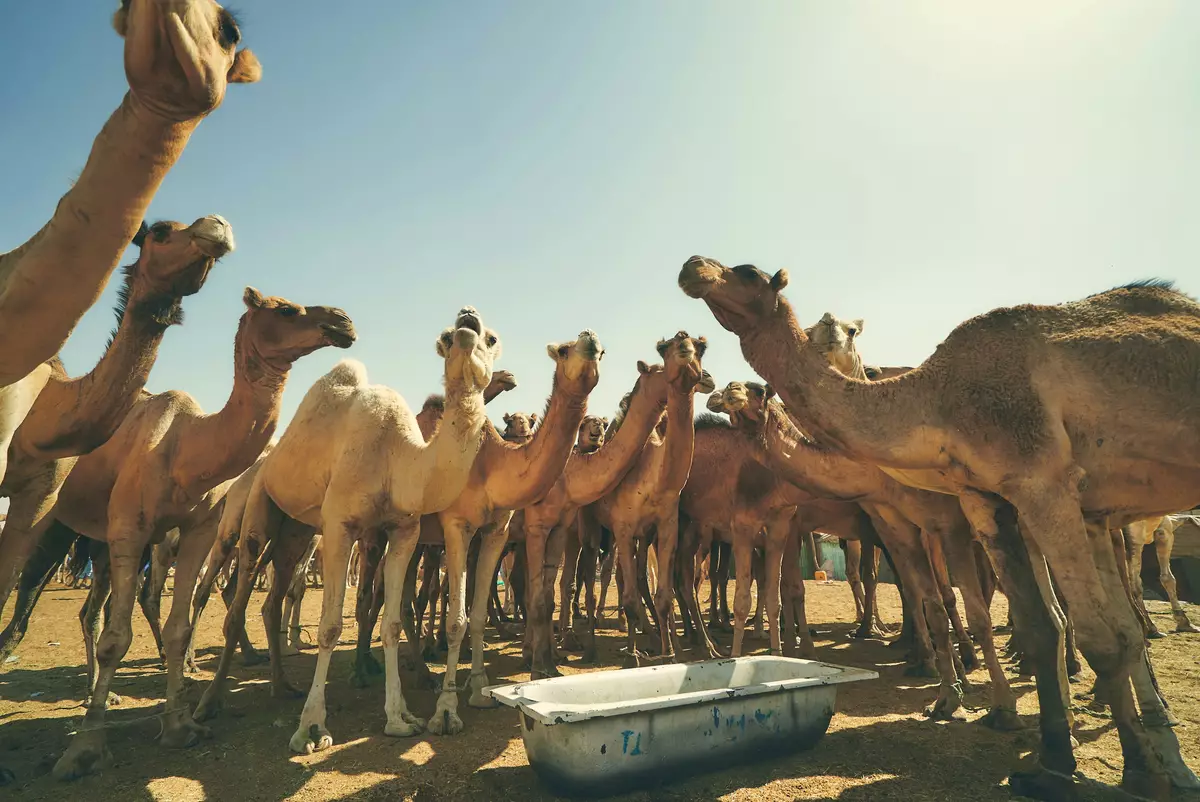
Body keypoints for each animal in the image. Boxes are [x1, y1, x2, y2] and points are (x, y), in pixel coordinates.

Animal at [3, 286, 350, 777]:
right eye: (285, 309)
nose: (343, 321)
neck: (185, 447)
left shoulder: (195, 532)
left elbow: (180, 627)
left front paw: (180, 725)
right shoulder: (130, 527)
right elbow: (117, 640)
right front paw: (85, 749)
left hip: (98, 539)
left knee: (91, 610)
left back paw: (103, 692)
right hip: (51, 513)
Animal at [195, 304, 501, 753]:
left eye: (491, 338)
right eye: (445, 339)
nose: (467, 318)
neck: (399, 458)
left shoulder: (404, 530)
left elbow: (391, 623)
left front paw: (399, 718)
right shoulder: (341, 526)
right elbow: (330, 626)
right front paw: (311, 729)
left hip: (297, 532)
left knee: (272, 598)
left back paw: (281, 686)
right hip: (256, 506)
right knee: (236, 595)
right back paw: (207, 704)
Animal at [681, 260, 1200, 797]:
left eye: (747, 273)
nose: (693, 267)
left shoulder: (1003, 497)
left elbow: (976, 609)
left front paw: (996, 704)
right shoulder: (942, 511)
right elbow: (958, 606)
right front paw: (966, 703)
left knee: (1122, 605)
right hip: (1095, 512)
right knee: (1107, 616)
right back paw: (1157, 747)